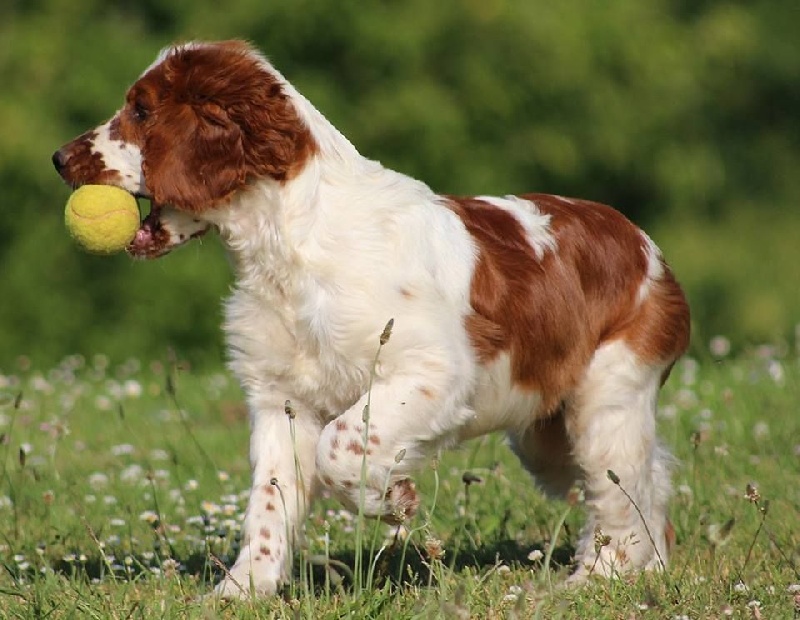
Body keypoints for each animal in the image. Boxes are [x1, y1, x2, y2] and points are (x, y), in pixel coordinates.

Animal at [51, 38, 688, 596]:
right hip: (544, 434)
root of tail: (643, 244)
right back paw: (646, 570)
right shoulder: (281, 401)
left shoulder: (432, 372)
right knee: (643, 479)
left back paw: (599, 578)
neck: (289, 244)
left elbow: (342, 445)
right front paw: (241, 592)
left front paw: (393, 500)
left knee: (619, 485)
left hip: (606, 402)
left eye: (141, 110)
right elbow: (269, 502)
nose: (58, 158)